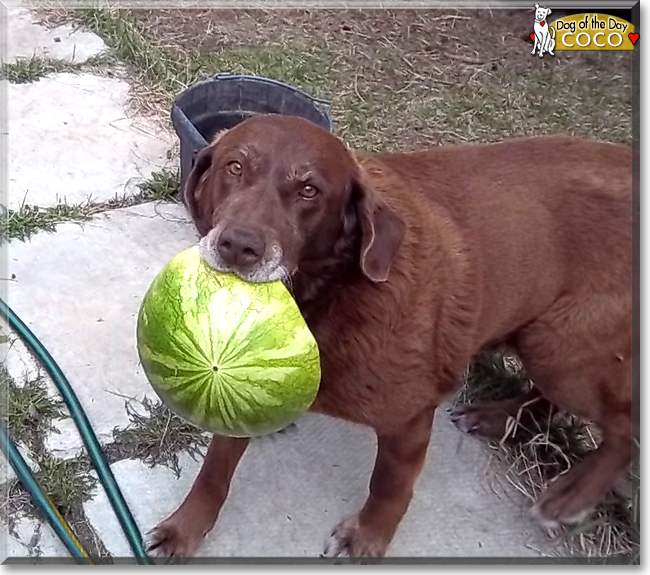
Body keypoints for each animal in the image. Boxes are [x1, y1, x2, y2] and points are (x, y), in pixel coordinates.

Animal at [144, 115, 632, 560]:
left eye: (309, 191)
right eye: (235, 167)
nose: (238, 246)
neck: (324, 295)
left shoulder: (409, 419)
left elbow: (388, 487)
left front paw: (366, 539)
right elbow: (214, 470)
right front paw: (184, 529)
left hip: (558, 345)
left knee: (626, 426)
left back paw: (571, 497)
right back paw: (500, 418)